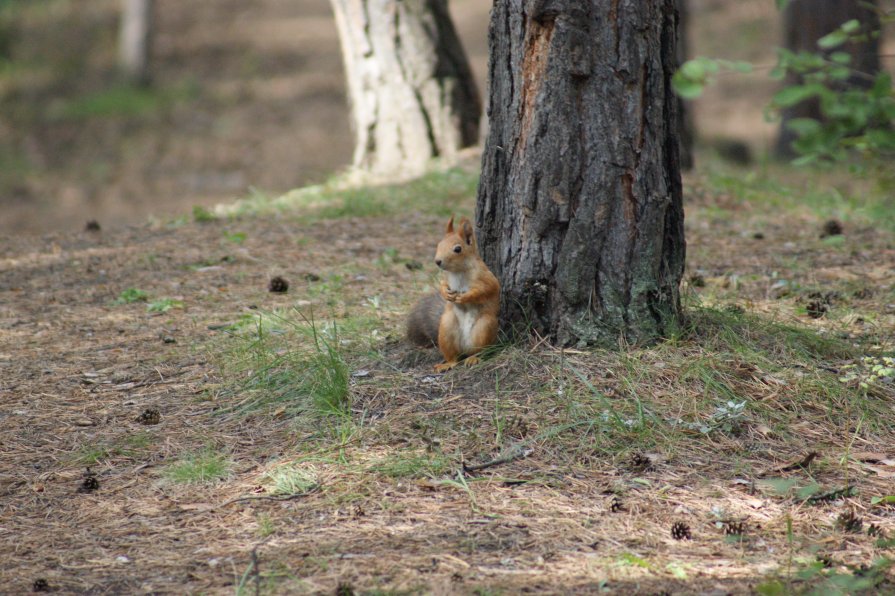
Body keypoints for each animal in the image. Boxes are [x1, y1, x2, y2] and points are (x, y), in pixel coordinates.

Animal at [408, 214, 500, 372]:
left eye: (458, 249)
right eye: (439, 245)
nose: (437, 261)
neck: (458, 271)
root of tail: (465, 348)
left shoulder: (487, 278)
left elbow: (486, 289)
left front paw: (465, 297)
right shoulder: (447, 278)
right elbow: (442, 284)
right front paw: (446, 293)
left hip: (484, 327)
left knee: (480, 351)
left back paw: (474, 358)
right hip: (446, 328)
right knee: (454, 358)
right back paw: (447, 364)